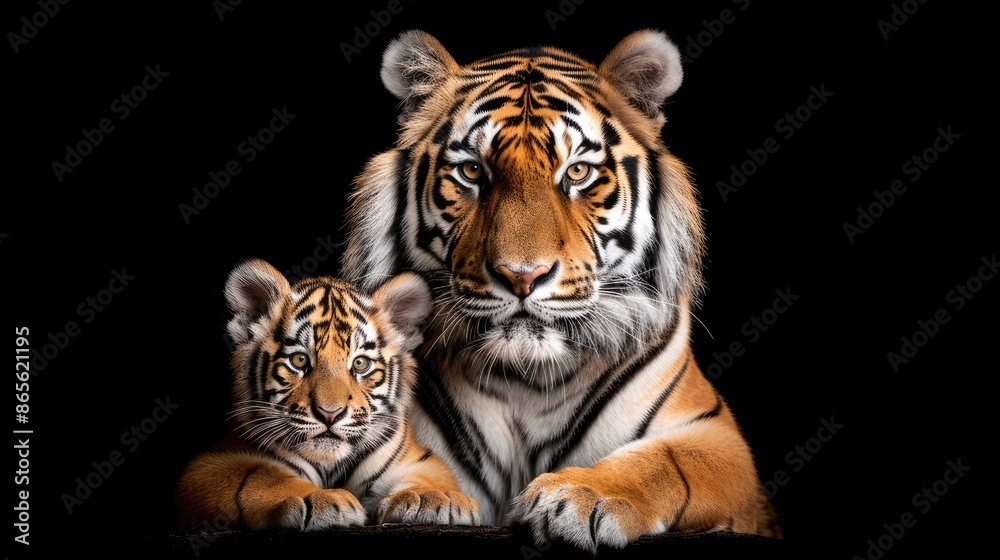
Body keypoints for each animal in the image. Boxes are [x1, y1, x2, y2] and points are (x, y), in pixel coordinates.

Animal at [174, 258, 480, 531]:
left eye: (360, 364)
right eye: (299, 360)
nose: (330, 414)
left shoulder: (419, 460)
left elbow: (430, 479)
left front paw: (434, 498)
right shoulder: (211, 463)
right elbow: (263, 473)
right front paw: (320, 499)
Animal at [340, 29, 781, 551]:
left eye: (577, 172)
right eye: (472, 172)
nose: (522, 275)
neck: (526, 382)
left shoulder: (716, 438)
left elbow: (662, 463)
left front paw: (580, 495)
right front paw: (426, 499)